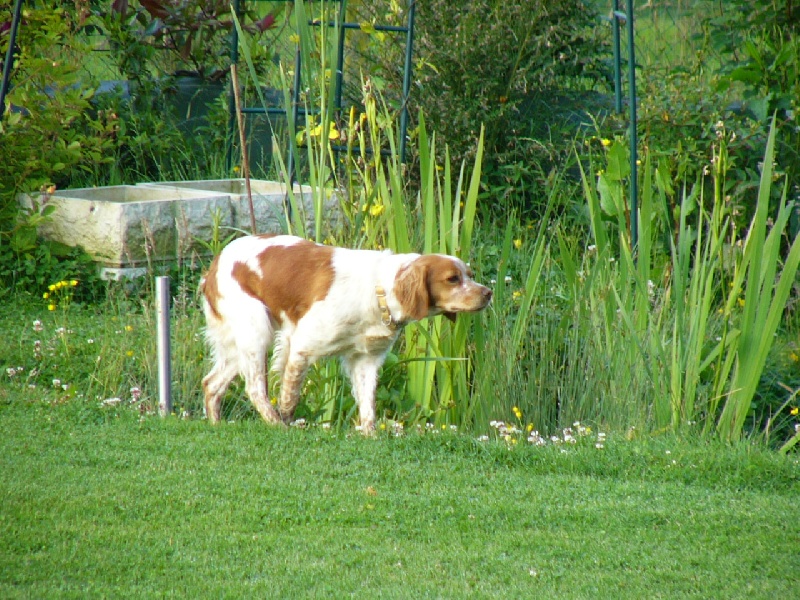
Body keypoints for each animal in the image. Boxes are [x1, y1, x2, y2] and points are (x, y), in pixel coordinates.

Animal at [198, 234, 494, 432]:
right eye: (453, 279)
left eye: (469, 274)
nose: (488, 293)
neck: (379, 291)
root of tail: (215, 263)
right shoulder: (301, 345)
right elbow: (290, 397)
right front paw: (286, 424)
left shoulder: (367, 360)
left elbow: (368, 406)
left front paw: (370, 436)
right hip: (257, 328)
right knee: (255, 387)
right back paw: (274, 425)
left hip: (239, 343)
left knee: (211, 383)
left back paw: (216, 426)